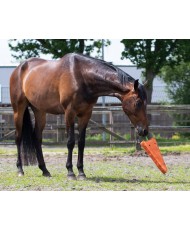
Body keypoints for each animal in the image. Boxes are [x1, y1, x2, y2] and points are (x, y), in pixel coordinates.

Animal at [9, 53, 149, 180]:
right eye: (138, 103)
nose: (144, 130)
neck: (81, 76)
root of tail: (19, 69)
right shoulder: (69, 113)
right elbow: (71, 142)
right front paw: (70, 172)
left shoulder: (86, 114)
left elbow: (81, 142)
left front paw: (81, 172)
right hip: (18, 109)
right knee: (18, 138)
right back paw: (20, 170)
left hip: (40, 111)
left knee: (37, 138)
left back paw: (45, 170)